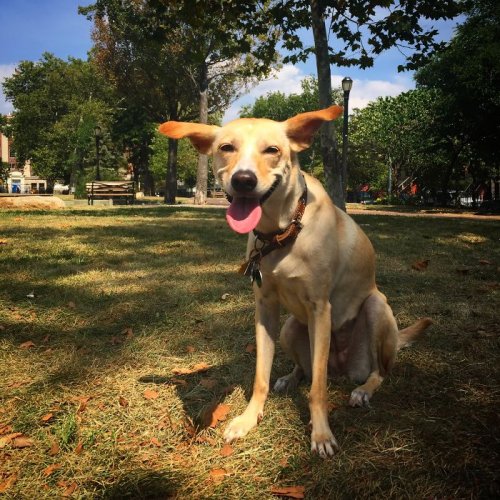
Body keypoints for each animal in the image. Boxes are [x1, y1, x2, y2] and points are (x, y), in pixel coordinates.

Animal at [159, 106, 431, 457]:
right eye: (226, 148)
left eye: (272, 150)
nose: (243, 180)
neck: (283, 231)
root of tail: (342, 368)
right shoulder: (265, 309)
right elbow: (261, 376)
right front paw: (248, 419)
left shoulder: (320, 309)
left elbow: (318, 389)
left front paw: (321, 434)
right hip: (290, 328)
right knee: (306, 368)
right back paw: (289, 378)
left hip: (376, 310)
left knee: (378, 372)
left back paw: (363, 390)